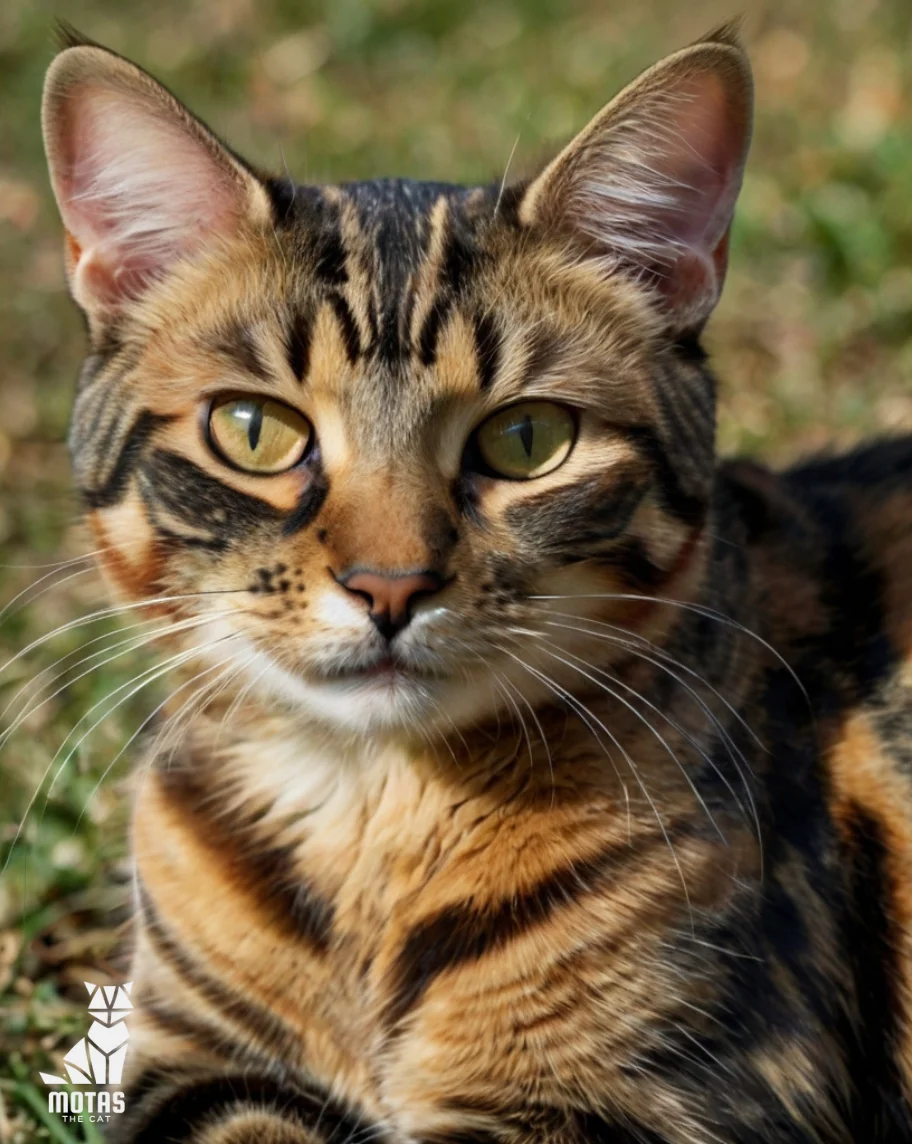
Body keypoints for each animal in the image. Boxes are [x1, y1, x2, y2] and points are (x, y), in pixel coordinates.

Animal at [40, 22, 910, 1144]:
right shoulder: (199, 1061)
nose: (389, 585)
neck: (372, 817)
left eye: (527, 439)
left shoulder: (682, 1094)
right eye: (254, 429)